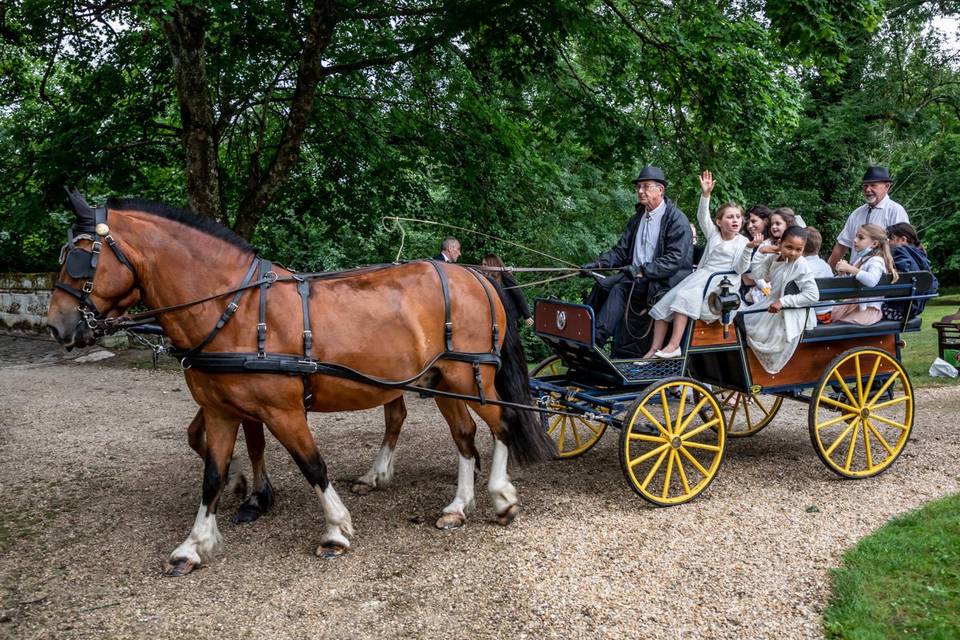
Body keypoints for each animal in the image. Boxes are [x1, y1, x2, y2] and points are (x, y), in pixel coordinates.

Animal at [48, 194, 552, 576]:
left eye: (81, 257)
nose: (56, 325)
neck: (234, 310)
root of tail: (476, 277)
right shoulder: (220, 411)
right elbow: (211, 475)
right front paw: (195, 543)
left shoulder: (283, 411)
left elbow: (313, 466)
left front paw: (336, 530)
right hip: (442, 379)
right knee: (464, 436)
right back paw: (457, 506)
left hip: (469, 375)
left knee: (503, 423)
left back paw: (502, 498)